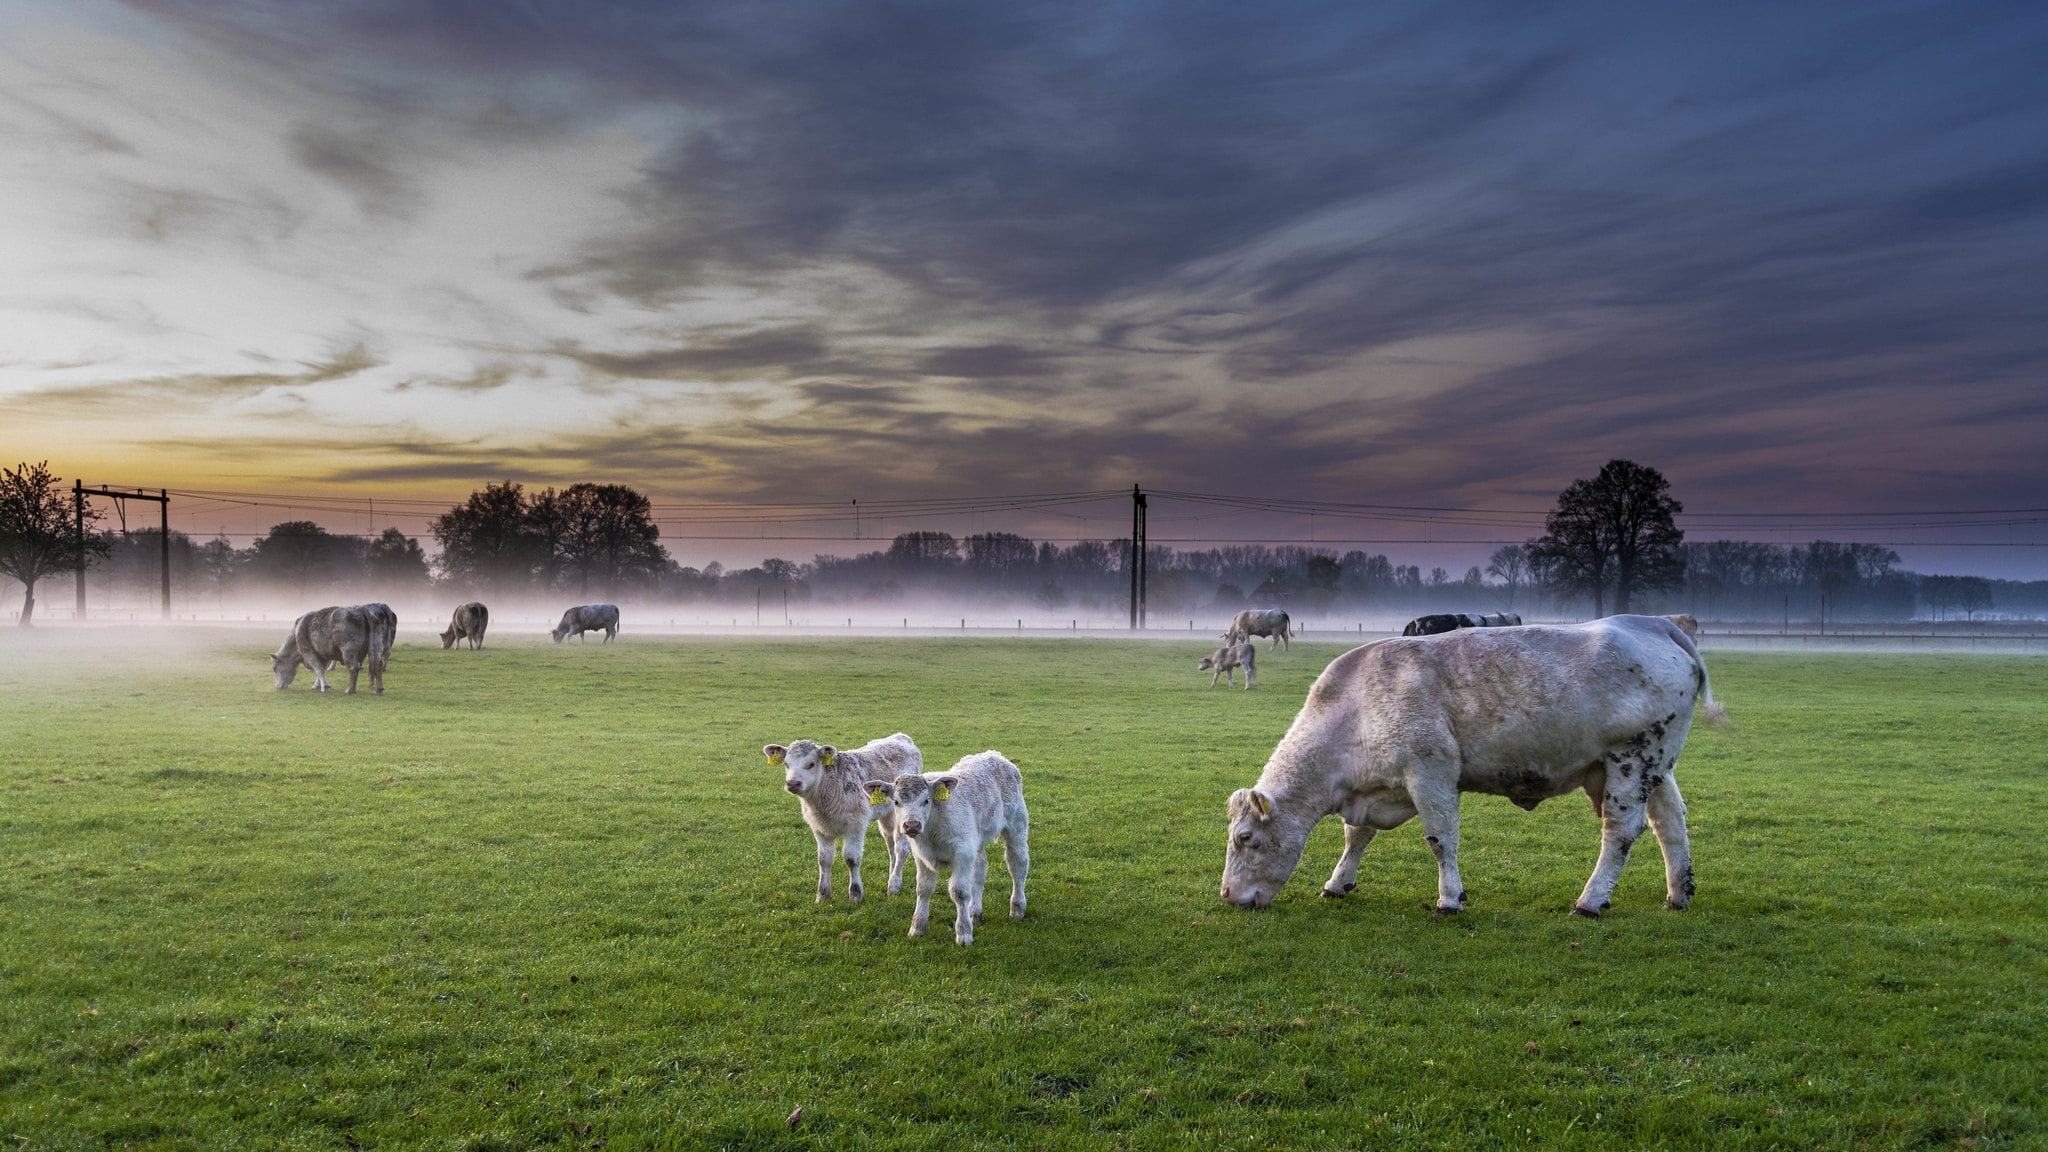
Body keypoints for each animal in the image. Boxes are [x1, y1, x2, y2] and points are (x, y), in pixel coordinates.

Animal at [1221, 615, 1723, 918]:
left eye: (1245, 838)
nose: (1226, 895)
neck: (1353, 709)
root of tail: (1651, 623)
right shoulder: (1374, 788)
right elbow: (1356, 836)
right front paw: (1337, 882)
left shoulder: (1430, 774)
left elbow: (1440, 839)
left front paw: (1449, 899)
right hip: (1655, 764)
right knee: (1670, 822)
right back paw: (1679, 892)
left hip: (1629, 760)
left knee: (1621, 831)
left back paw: (1591, 899)